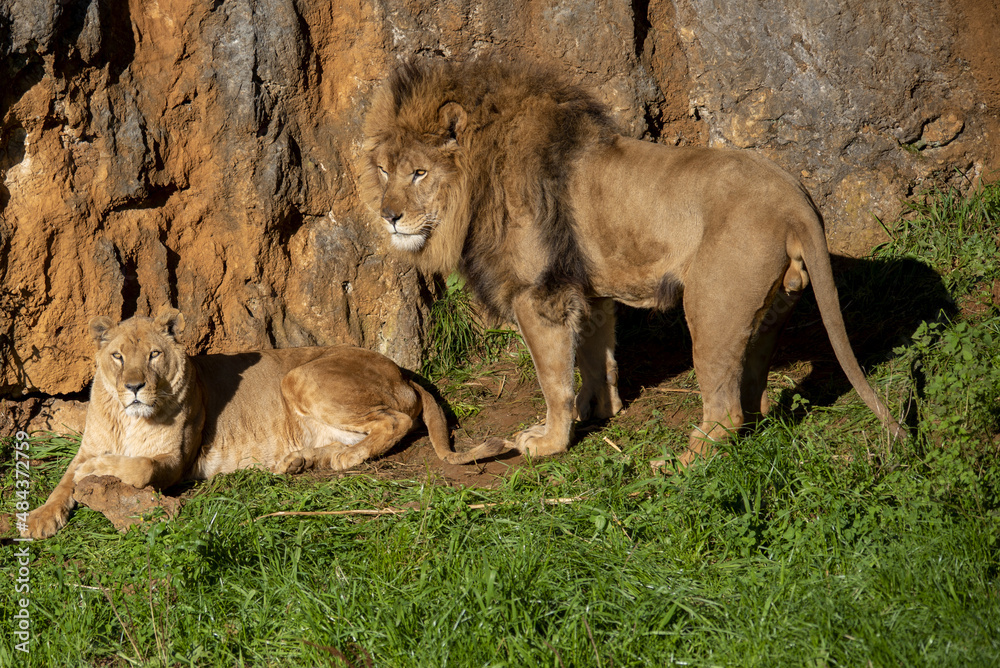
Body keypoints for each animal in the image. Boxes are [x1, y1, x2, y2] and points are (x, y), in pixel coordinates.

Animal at [24, 309, 503, 538]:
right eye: (118, 356)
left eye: (154, 355)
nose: (135, 386)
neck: (128, 420)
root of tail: (402, 371)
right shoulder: (90, 443)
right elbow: (63, 481)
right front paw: (38, 519)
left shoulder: (176, 463)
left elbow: (134, 468)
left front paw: (95, 472)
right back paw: (300, 461)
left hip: (301, 376)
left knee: (397, 420)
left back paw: (341, 460)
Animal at [359, 58, 906, 464]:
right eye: (384, 170)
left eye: (419, 173)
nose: (388, 216)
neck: (478, 179)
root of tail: (797, 199)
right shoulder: (588, 292)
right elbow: (594, 358)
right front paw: (600, 410)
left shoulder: (540, 296)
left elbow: (553, 379)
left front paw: (549, 442)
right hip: (768, 309)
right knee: (751, 395)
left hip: (712, 307)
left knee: (724, 409)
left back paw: (681, 464)